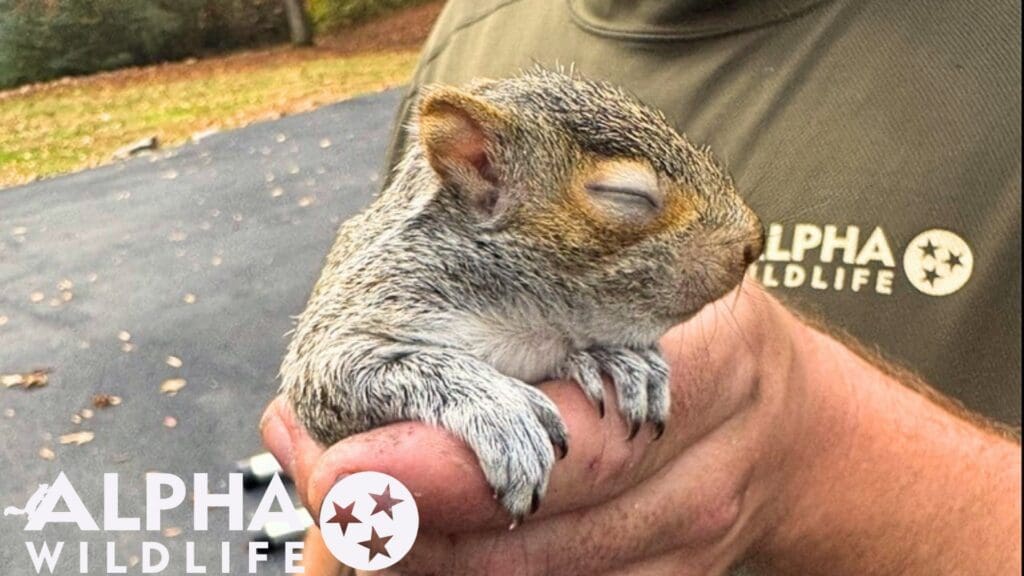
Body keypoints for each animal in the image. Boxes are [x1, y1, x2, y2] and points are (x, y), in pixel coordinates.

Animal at [280, 68, 764, 524]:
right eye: (626, 195)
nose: (753, 242)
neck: (526, 318)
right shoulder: (366, 303)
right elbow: (342, 372)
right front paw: (500, 408)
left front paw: (623, 362)